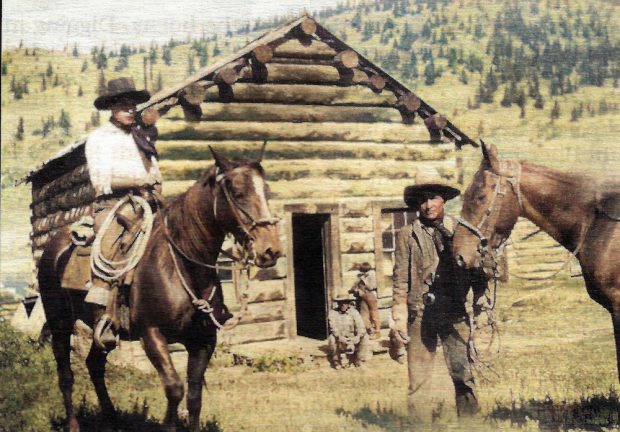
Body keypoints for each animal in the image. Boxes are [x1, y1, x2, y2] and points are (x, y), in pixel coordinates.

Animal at [37, 147, 284, 430]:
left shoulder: (203, 340)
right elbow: (175, 388)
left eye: (266, 191)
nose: (271, 249)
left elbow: (194, 395)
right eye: (237, 191)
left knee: (95, 365)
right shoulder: (152, 334)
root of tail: (54, 246)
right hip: (60, 323)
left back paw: (112, 420)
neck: (182, 263)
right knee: (65, 375)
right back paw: (74, 424)